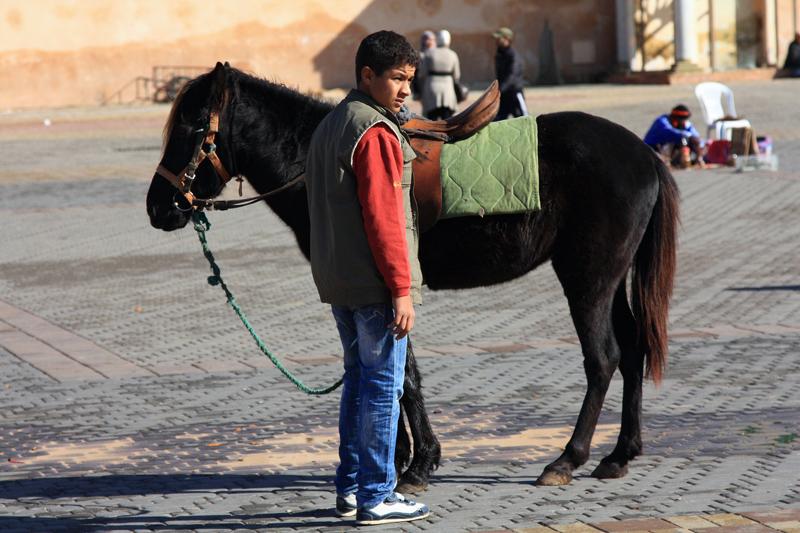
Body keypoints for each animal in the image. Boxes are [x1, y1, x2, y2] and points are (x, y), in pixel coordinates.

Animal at [147, 62, 680, 490]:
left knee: (603, 358)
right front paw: (400, 458)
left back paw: (568, 458)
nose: (158, 207)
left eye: (193, 125)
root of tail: (643, 153)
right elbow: (397, 372)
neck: (324, 159)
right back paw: (619, 454)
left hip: (587, 280)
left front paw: (418, 464)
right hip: (610, 280)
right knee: (633, 349)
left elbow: (403, 375)